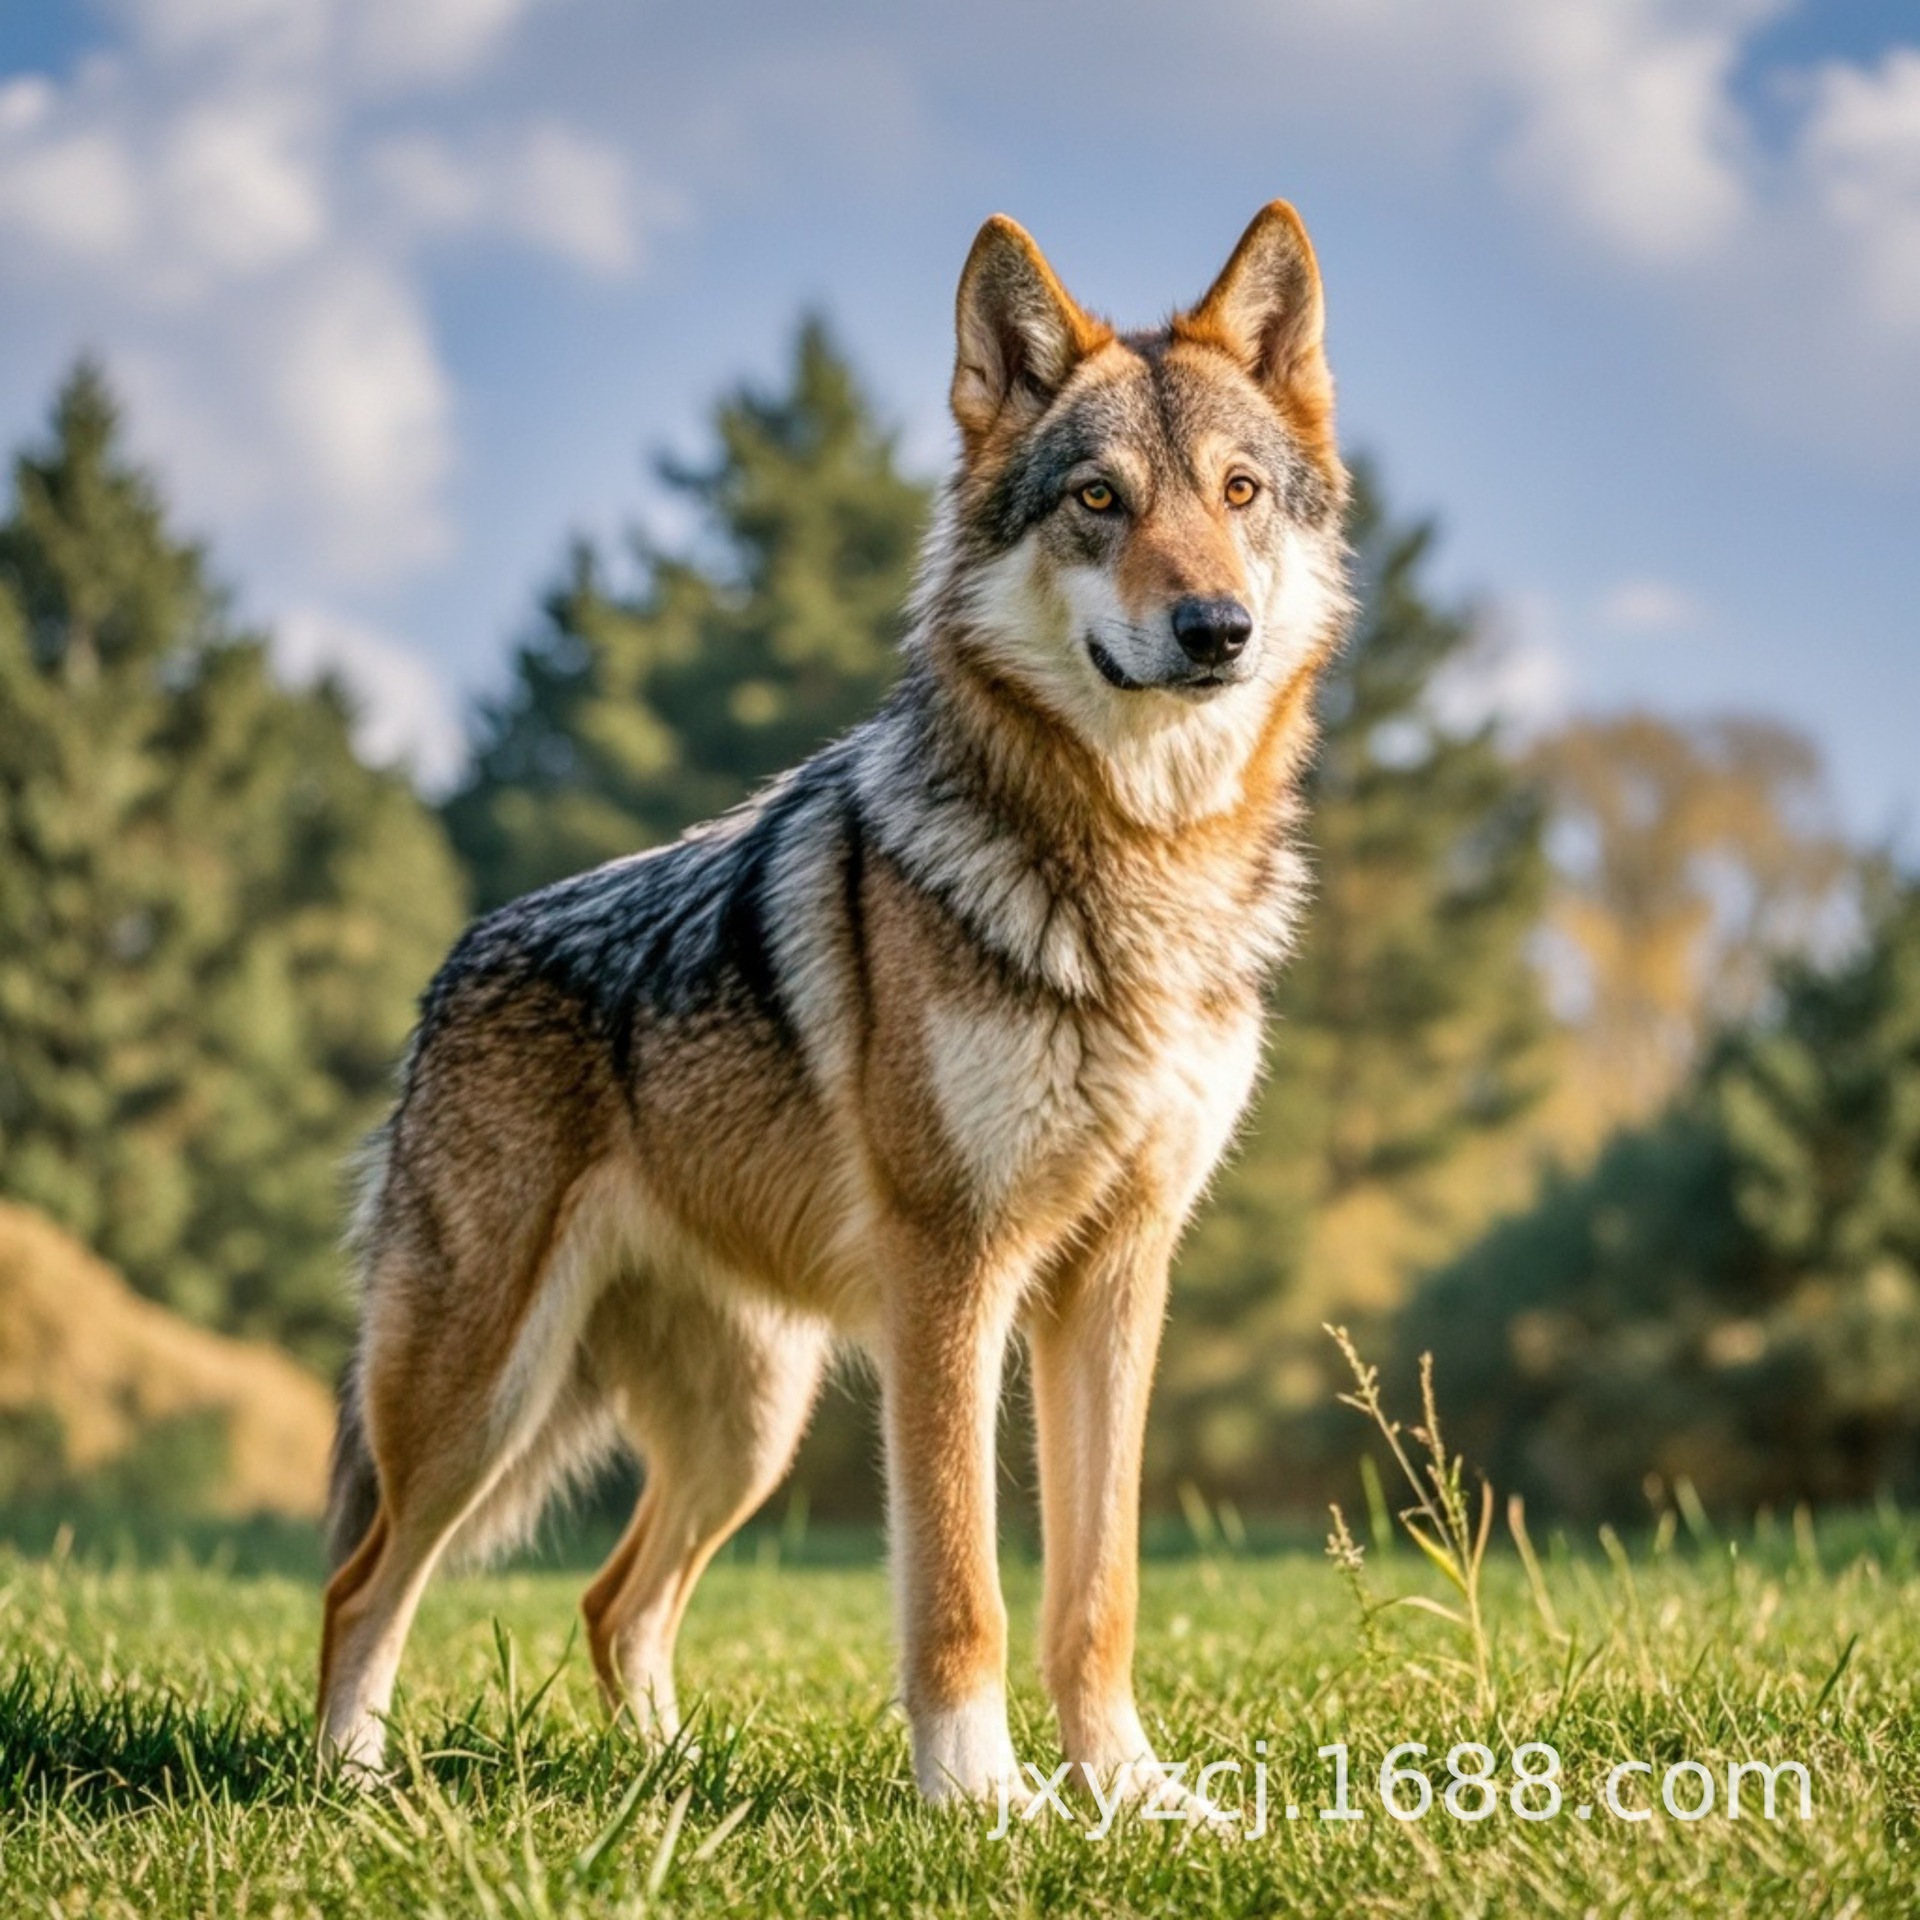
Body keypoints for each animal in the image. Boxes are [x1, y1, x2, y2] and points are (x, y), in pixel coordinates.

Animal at [317, 201, 1352, 1804]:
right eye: (1099, 500)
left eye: (1238, 492)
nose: (1215, 628)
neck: (1141, 875)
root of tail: (461, 956)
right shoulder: (952, 1272)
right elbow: (963, 1585)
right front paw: (982, 1802)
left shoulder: (1121, 1279)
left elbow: (1098, 1593)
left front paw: (1129, 1796)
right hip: (481, 1395)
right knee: (362, 1587)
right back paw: (353, 1794)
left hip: (747, 1426)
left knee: (611, 1601)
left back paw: (667, 1783)